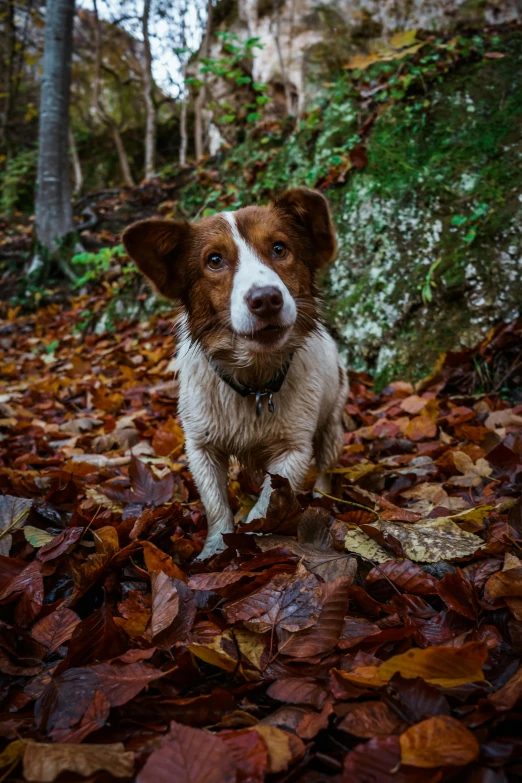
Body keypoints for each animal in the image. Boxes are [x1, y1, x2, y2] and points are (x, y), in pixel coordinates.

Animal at [124, 188, 348, 560]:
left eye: (279, 248)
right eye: (214, 260)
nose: (266, 299)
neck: (255, 382)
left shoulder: (293, 451)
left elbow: (263, 508)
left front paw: (249, 542)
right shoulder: (201, 448)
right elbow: (216, 505)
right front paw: (215, 548)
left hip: (331, 424)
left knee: (326, 466)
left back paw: (322, 496)